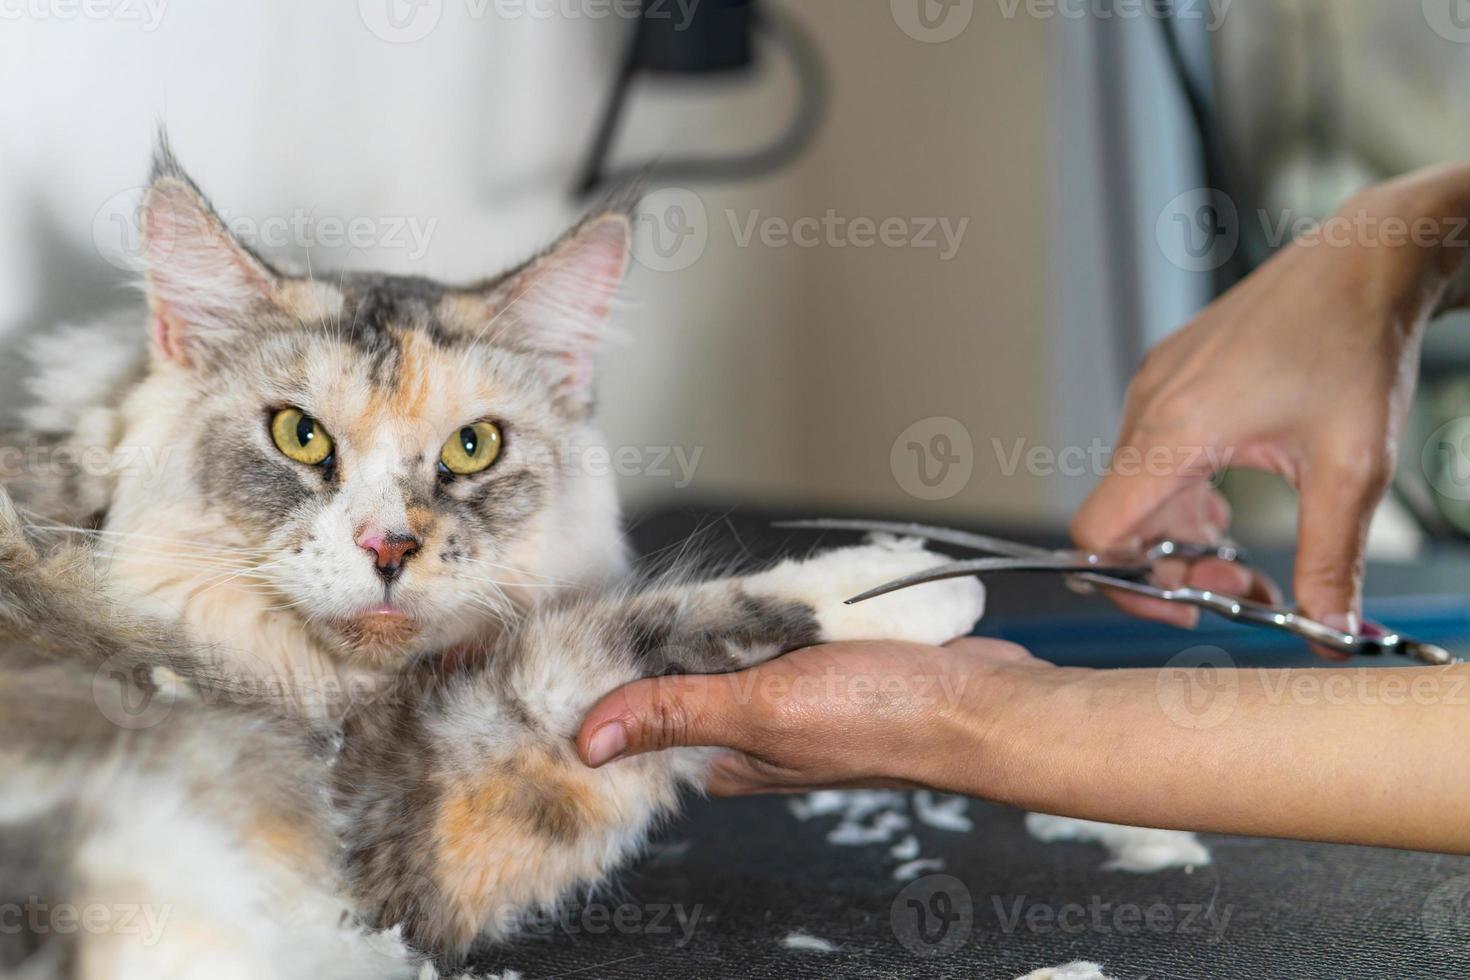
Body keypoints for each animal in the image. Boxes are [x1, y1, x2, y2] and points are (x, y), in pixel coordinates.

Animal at [2, 141, 987, 975]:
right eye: (298, 435)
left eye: (472, 447)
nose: (389, 546)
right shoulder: (416, 808)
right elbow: (646, 630)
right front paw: (908, 581)